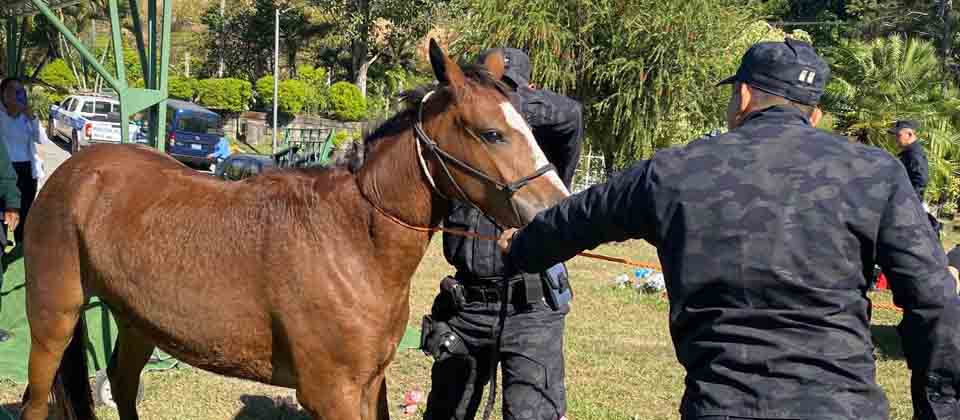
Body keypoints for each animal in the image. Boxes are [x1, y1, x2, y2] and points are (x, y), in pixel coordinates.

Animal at [18, 39, 570, 420]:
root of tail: (73, 171)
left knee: (124, 385)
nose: (553, 206)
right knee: (36, 399)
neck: (353, 242)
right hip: (53, 320)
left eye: (528, 126)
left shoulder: (370, 384)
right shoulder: (331, 393)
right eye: (492, 133)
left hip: (136, 323)